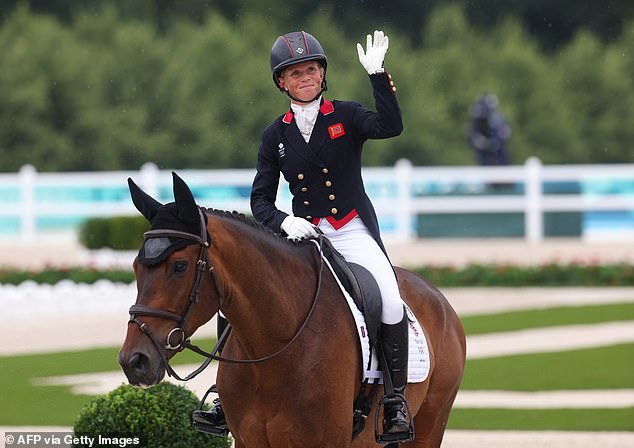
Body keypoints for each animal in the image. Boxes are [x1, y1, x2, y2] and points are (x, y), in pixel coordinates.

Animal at [118, 174, 464, 448]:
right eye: (135, 266)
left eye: (179, 266)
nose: (134, 361)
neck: (276, 348)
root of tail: (438, 296)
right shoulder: (248, 441)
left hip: (430, 426)